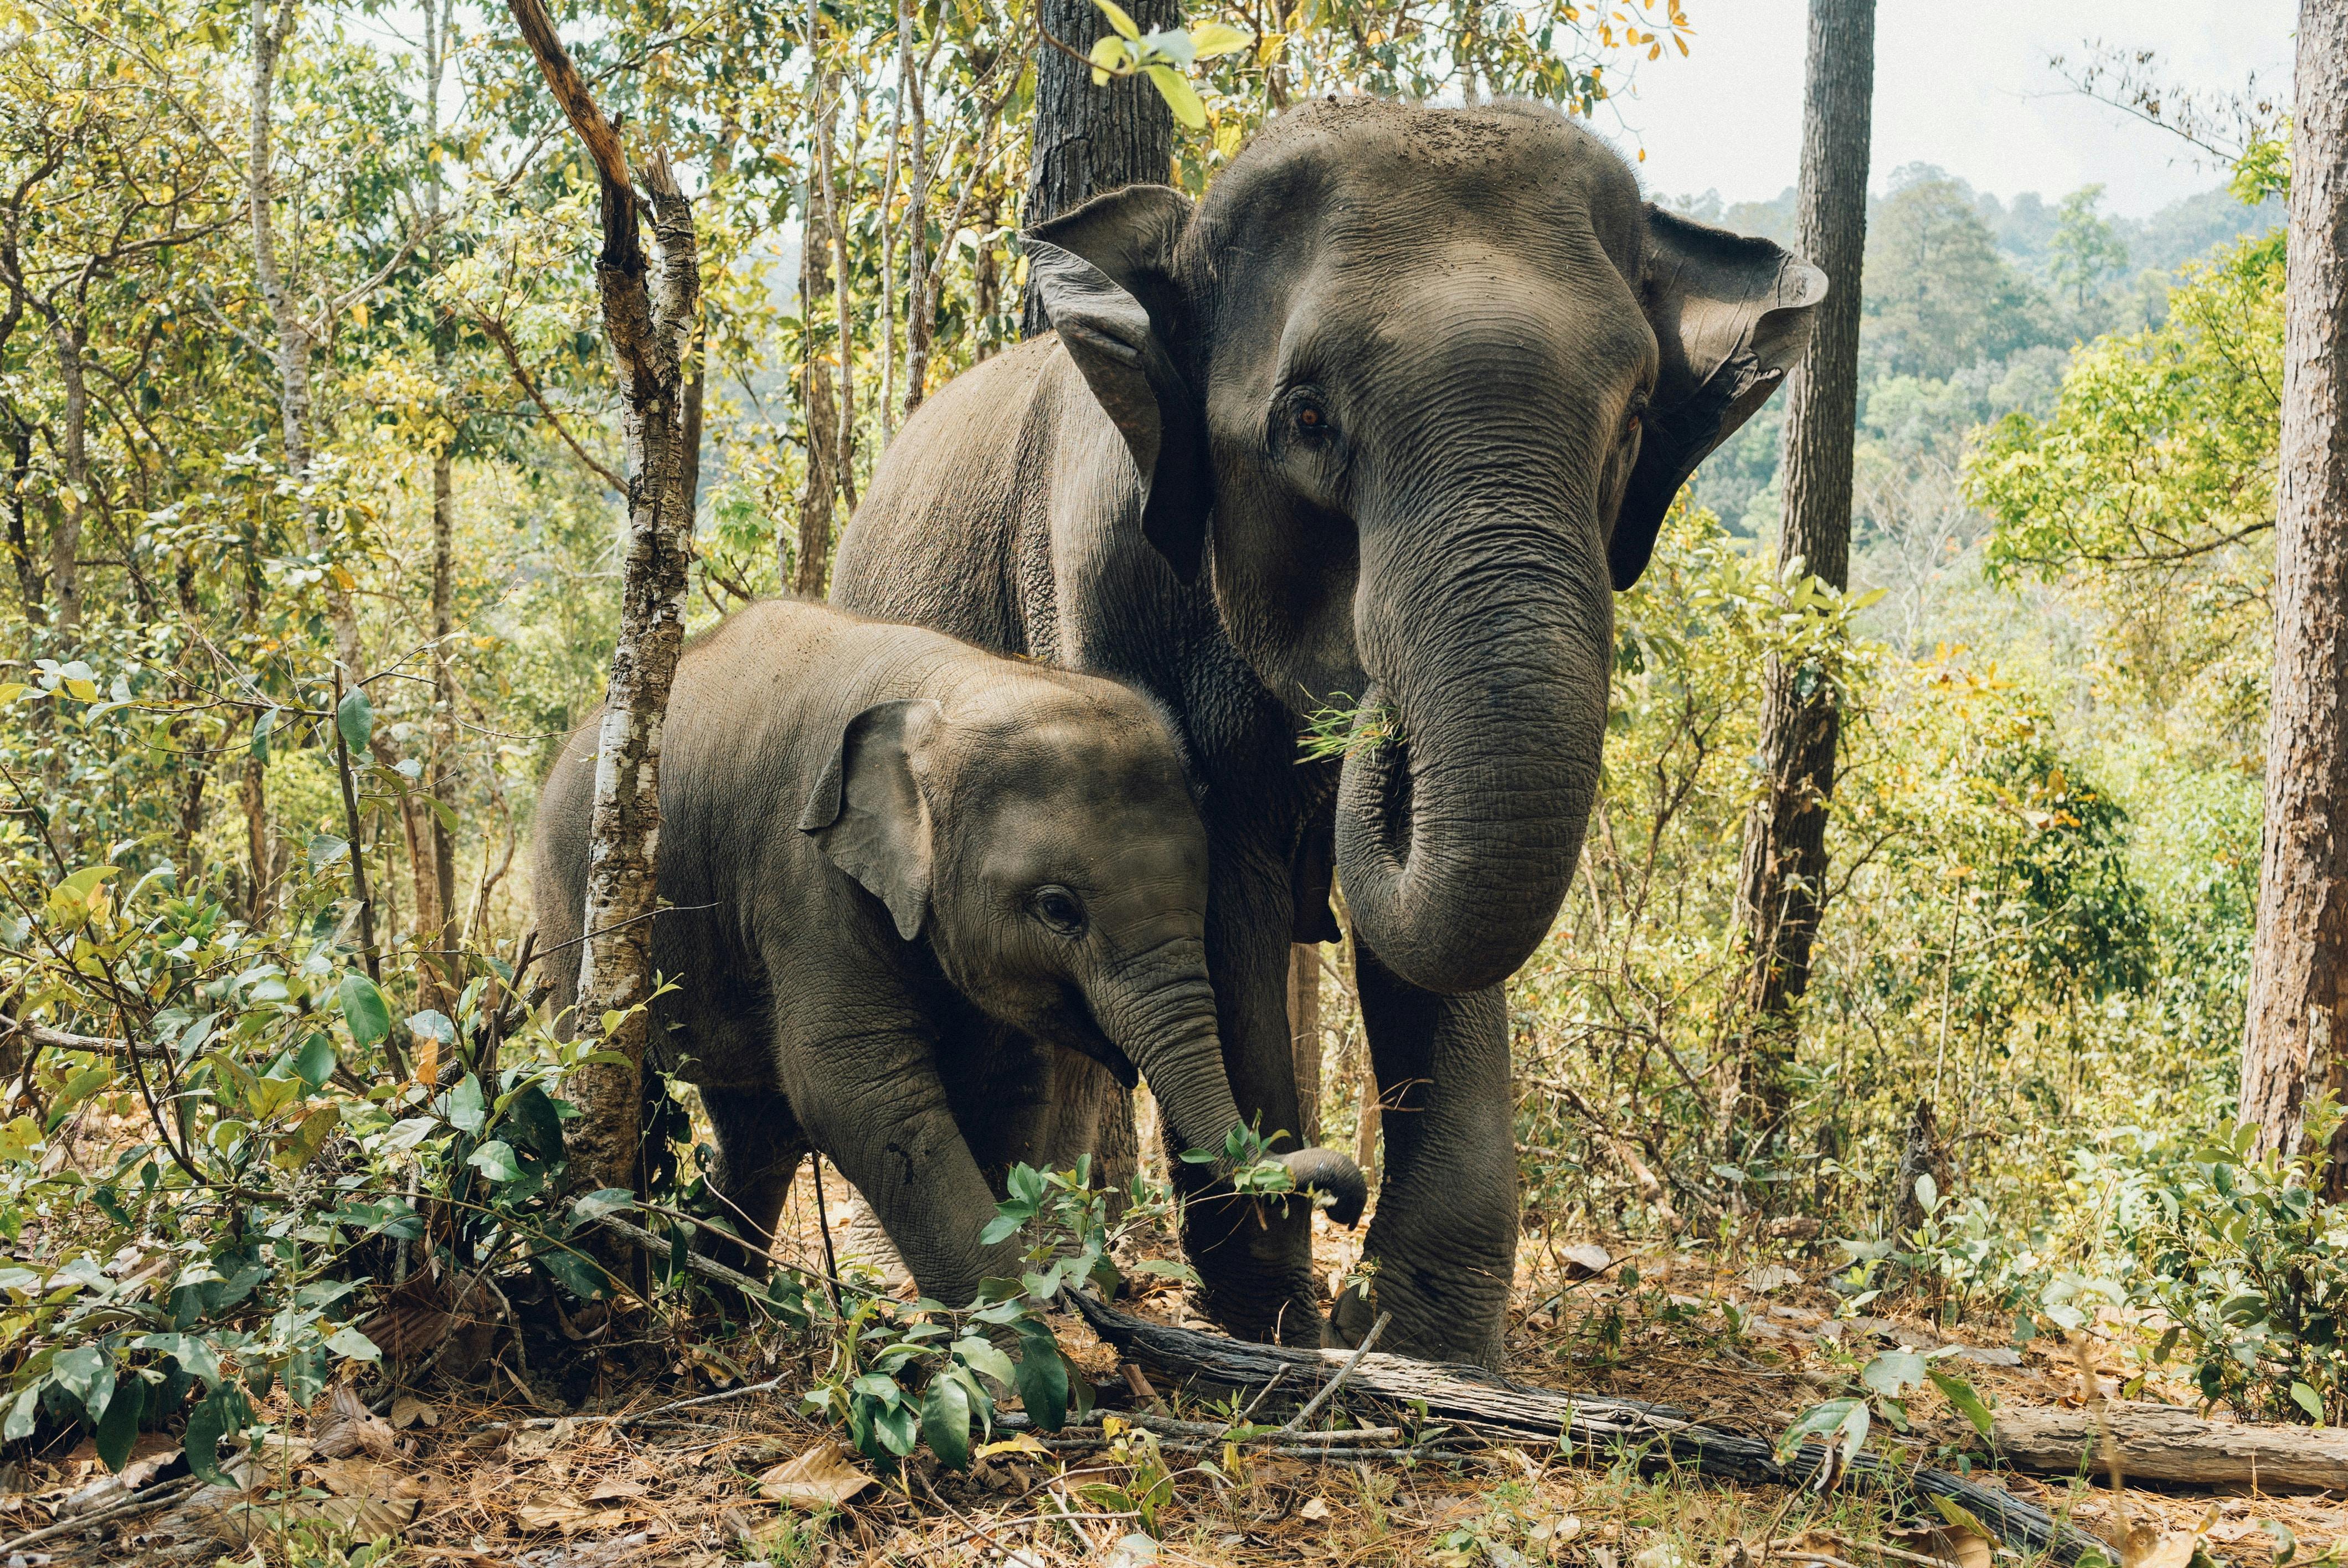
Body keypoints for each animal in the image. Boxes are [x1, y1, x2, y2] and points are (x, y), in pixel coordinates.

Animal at [533, 601, 1362, 1314]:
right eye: (1058, 909)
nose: (1344, 1203)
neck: (952, 688)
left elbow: (1004, 1087)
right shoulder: (806, 875)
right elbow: (854, 1086)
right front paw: (1025, 1358)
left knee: (759, 1131)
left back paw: (728, 1313)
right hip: (575, 910)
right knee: (620, 1083)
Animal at [836, 95, 1822, 1361]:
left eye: (1632, 425)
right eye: (1306, 420)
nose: (1371, 715)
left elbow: (1437, 932)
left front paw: (1416, 1341)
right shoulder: (1104, 582)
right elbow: (1223, 895)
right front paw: (1280, 1326)